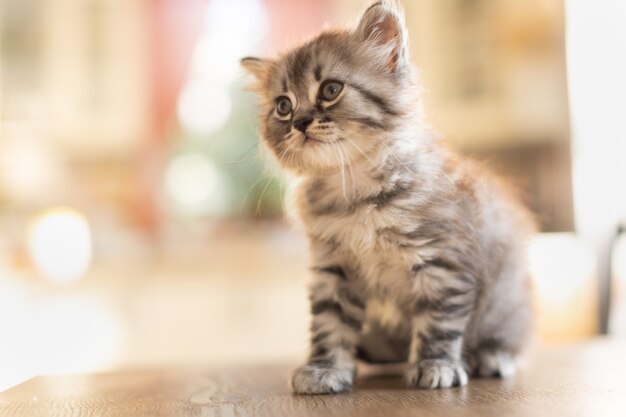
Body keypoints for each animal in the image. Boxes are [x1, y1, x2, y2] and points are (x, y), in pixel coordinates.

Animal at [239, 0, 532, 392]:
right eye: (283, 106)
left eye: (330, 90)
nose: (299, 122)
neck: (353, 188)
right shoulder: (333, 267)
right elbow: (330, 323)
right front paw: (325, 368)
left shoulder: (441, 261)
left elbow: (438, 320)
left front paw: (435, 364)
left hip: (506, 300)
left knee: (509, 338)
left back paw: (491, 356)